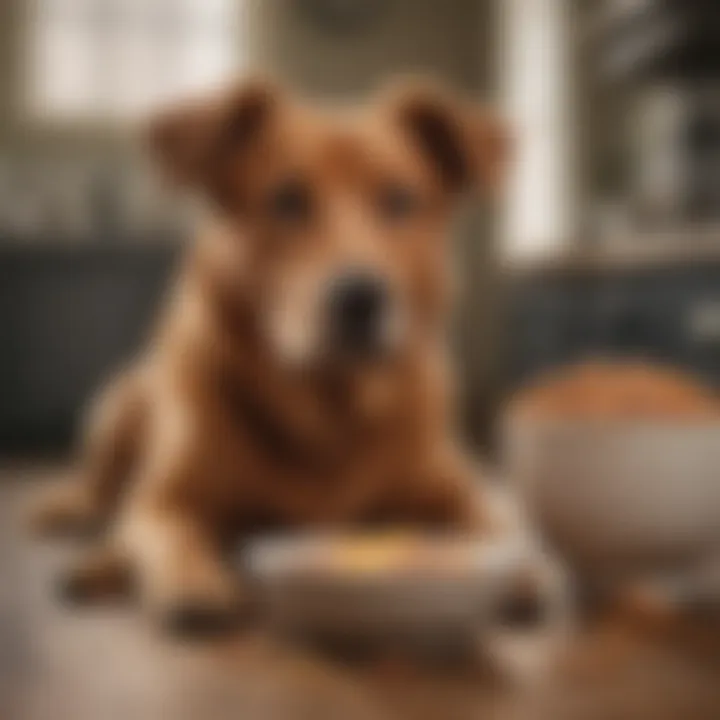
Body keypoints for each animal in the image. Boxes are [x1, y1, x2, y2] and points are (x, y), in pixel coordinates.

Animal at [29, 79, 512, 636]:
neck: (328, 407)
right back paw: (81, 537)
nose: (361, 297)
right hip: (117, 405)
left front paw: (521, 576)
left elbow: (494, 526)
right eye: (286, 200)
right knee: (101, 494)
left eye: (399, 200)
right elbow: (169, 531)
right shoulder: (167, 499)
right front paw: (193, 581)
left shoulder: (454, 488)